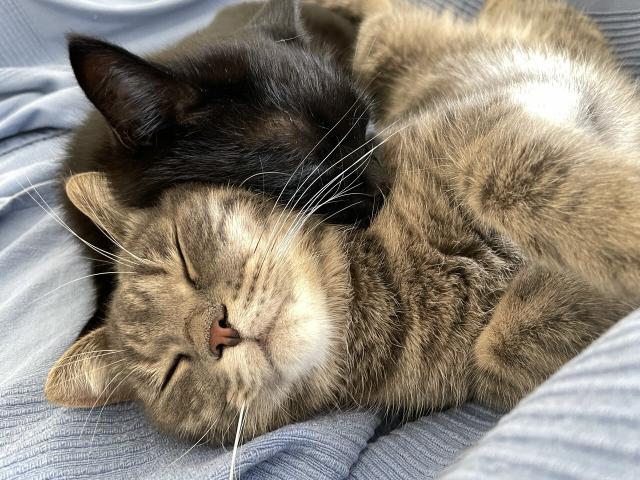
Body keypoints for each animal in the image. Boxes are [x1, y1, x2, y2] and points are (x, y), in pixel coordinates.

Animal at [46, 0, 640, 444]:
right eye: (173, 371)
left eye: (185, 256)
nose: (218, 330)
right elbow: (500, 347)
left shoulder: (493, 124)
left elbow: (522, 183)